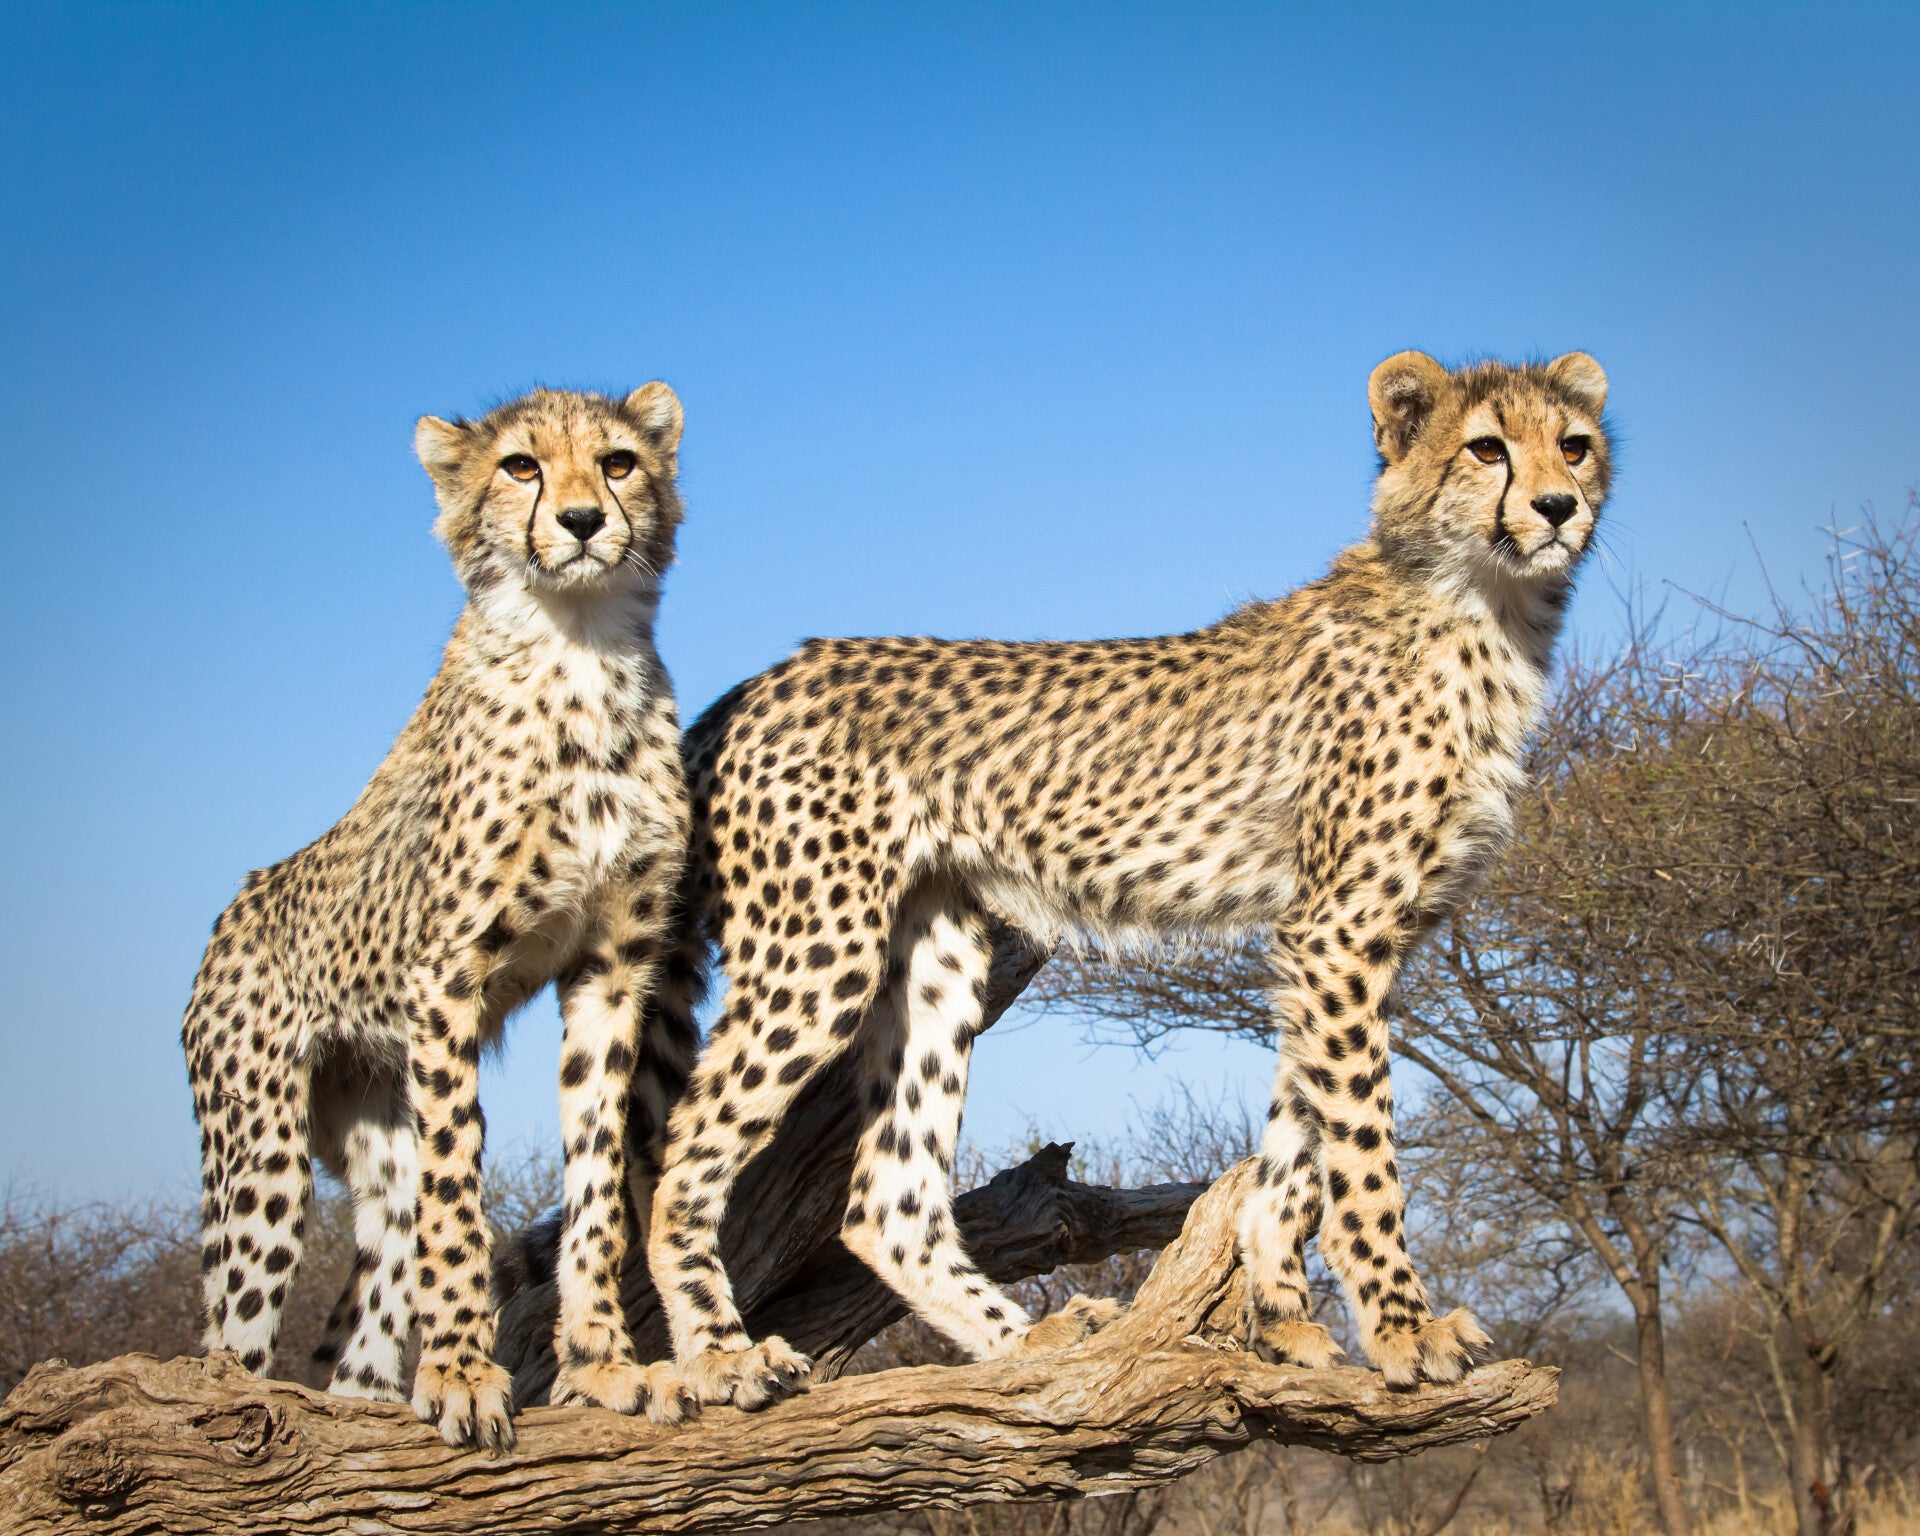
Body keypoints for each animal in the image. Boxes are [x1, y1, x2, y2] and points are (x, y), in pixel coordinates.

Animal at [182, 383, 699, 1450]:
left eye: (619, 462)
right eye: (520, 467)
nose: (582, 520)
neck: (580, 648)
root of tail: (237, 904)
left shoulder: (611, 969)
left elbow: (595, 1181)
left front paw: (604, 1364)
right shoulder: (447, 976)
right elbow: (460, 1189)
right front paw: (462, 1372)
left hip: (377, 1140)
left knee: (360, 1321)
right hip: (261, 1160)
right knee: (230, 1339)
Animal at [637, 349, 1613, 1409]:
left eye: (1574, 445)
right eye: (1486, 448)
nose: (1559, 506)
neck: (1484, 607)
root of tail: (757, 681)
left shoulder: (1338, 944)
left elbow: (1298, 1137)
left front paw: (1282, 1316)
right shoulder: (1339, 932)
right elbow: (1360, 1144)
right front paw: (1403, 1328)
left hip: (937, 954)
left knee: (885, 1197)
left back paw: (1028, 1342)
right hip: (818, 950)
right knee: (683, 1148)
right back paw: (720, 1354)